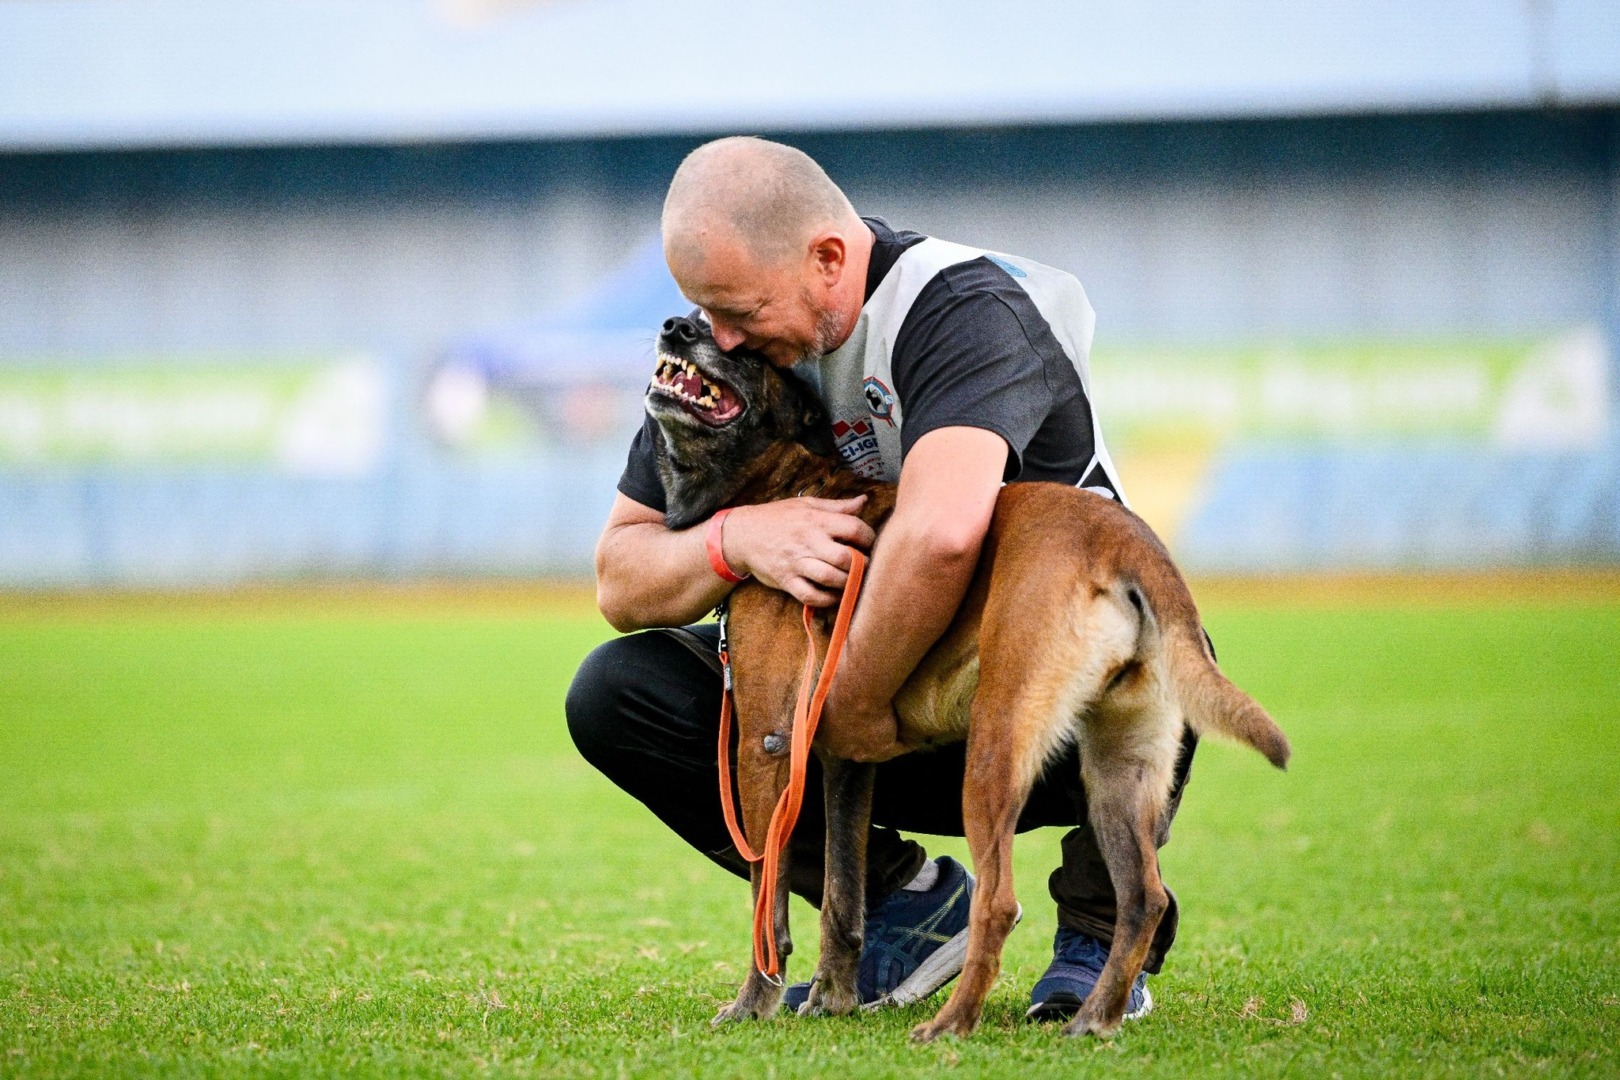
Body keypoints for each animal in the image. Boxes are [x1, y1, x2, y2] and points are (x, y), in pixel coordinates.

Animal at [644, 320, 1289, 1036]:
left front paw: (753, 1004)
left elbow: (769, 898)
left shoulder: (765, 746)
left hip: (992, 752)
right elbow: (843, 894)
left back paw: (951, 1024)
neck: (791, 485)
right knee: (1142, 898)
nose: (677, 327)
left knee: (1000, 901)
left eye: (747, 353)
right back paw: (1093, 1019)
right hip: (1119, 769)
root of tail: (1126, 543)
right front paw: (833, 998)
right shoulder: (843, 760)